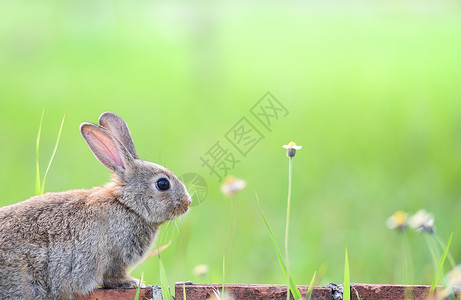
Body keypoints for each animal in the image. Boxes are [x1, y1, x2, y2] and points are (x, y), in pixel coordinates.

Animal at [0, 111, 190, 298]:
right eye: (163, 184)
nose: (187, 203)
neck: (128, 206)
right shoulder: (114, 258)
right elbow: (113, 277)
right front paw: (133, 283)